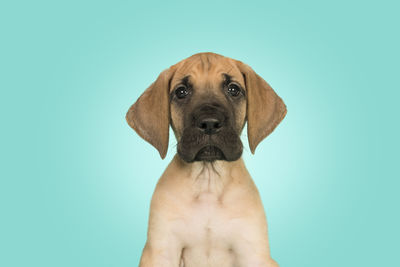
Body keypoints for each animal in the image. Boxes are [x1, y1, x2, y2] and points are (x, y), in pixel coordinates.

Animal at [126, 52, 286, 267]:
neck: (208, 181)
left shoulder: (252, 252)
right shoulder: (161, 251)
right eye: (181, 92)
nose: (209, 123)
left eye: (233, 89)